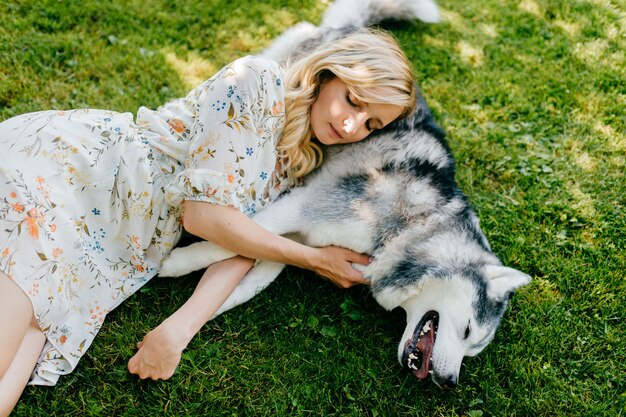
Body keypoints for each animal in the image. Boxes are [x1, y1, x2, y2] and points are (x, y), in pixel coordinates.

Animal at [158, 0, 528, 388]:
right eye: (468, 330)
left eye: (473, 350)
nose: (450, 382)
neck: (413, 225)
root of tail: (360, 31)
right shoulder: (303, 205)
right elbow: (224, 242)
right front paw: (175, 263)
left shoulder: (298, 238)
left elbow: (256, 272)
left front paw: (202, 313)